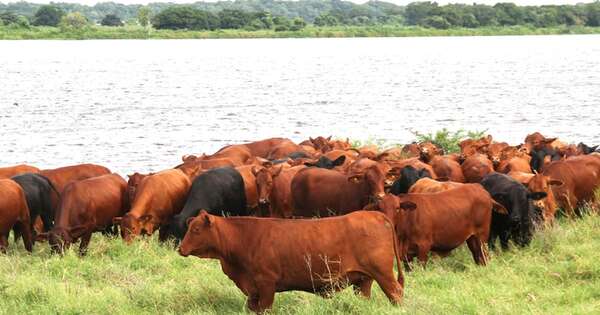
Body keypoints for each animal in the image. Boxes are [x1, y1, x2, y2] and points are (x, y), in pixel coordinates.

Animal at [178, 211, 404, 314]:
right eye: (190, 227)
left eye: (196, 230)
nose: (180, 249)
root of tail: (374, 213)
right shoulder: (253, 290)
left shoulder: (266, 284)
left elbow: (265, 308)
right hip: (363, 280)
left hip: (383, 274)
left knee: (396, 294)